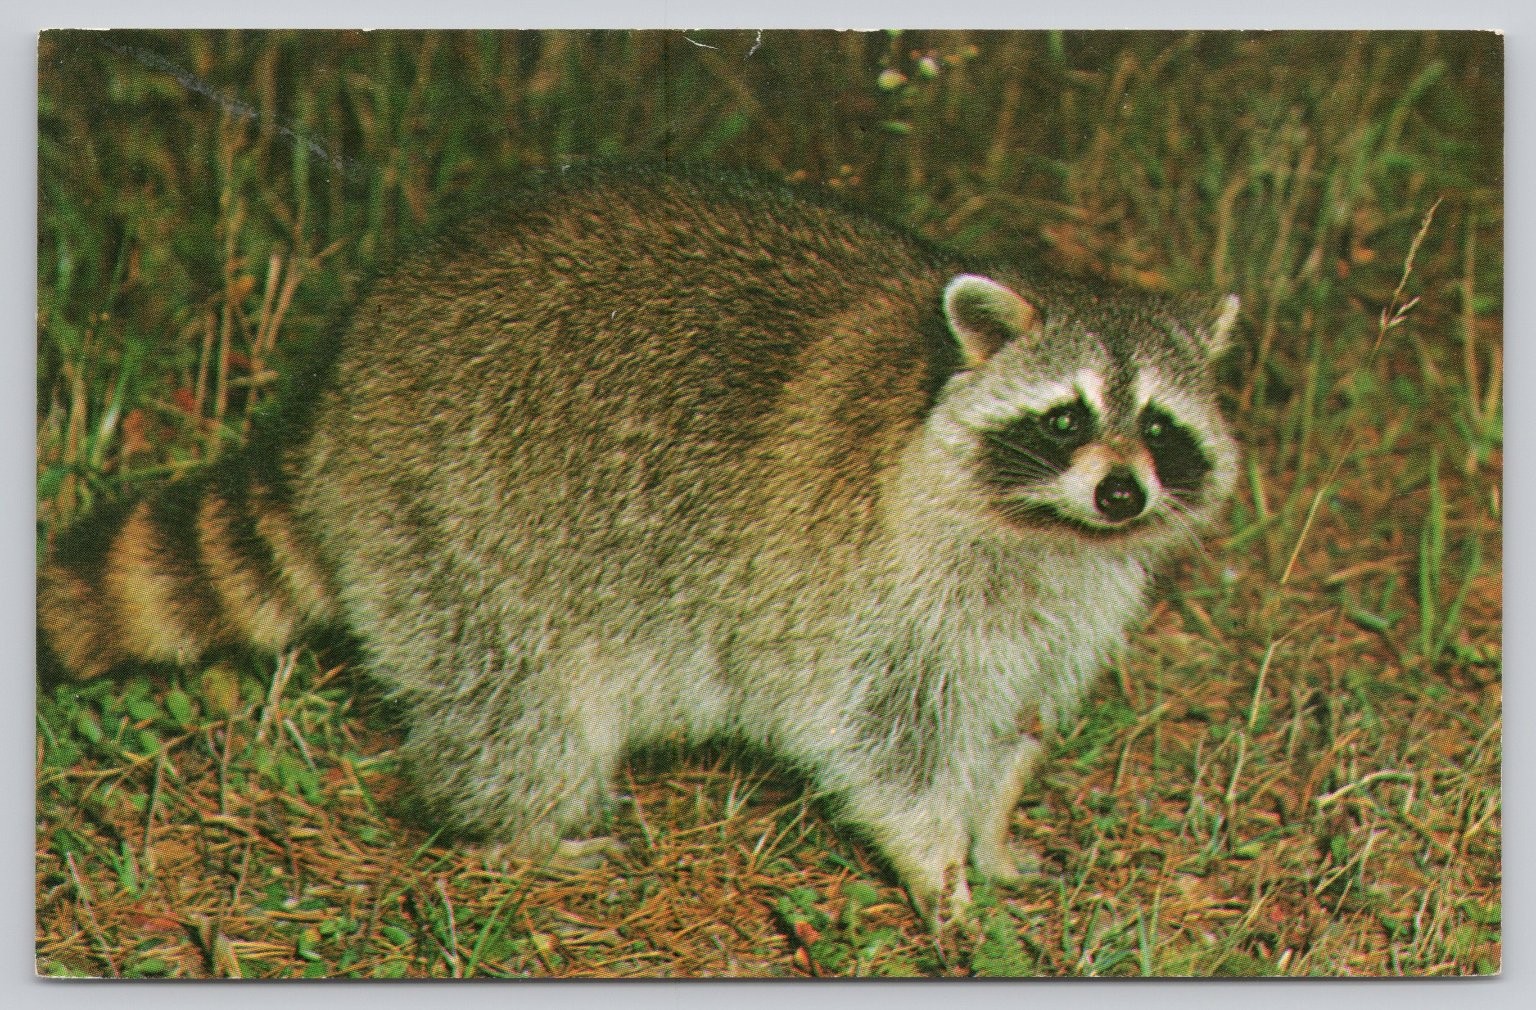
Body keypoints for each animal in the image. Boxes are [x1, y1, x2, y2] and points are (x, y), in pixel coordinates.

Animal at [39, 171, 1238, 920]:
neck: (1044, 528)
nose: (1123, 490)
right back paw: (519, 828)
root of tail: (338, 394)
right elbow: (882, 738)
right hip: (462, 521)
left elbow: (1013, 719)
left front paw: (991, 828)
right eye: (1066, 419)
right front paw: (938, 865)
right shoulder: (874, 582)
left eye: (1159, 428)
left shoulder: (1060, 602)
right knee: (520, 703)